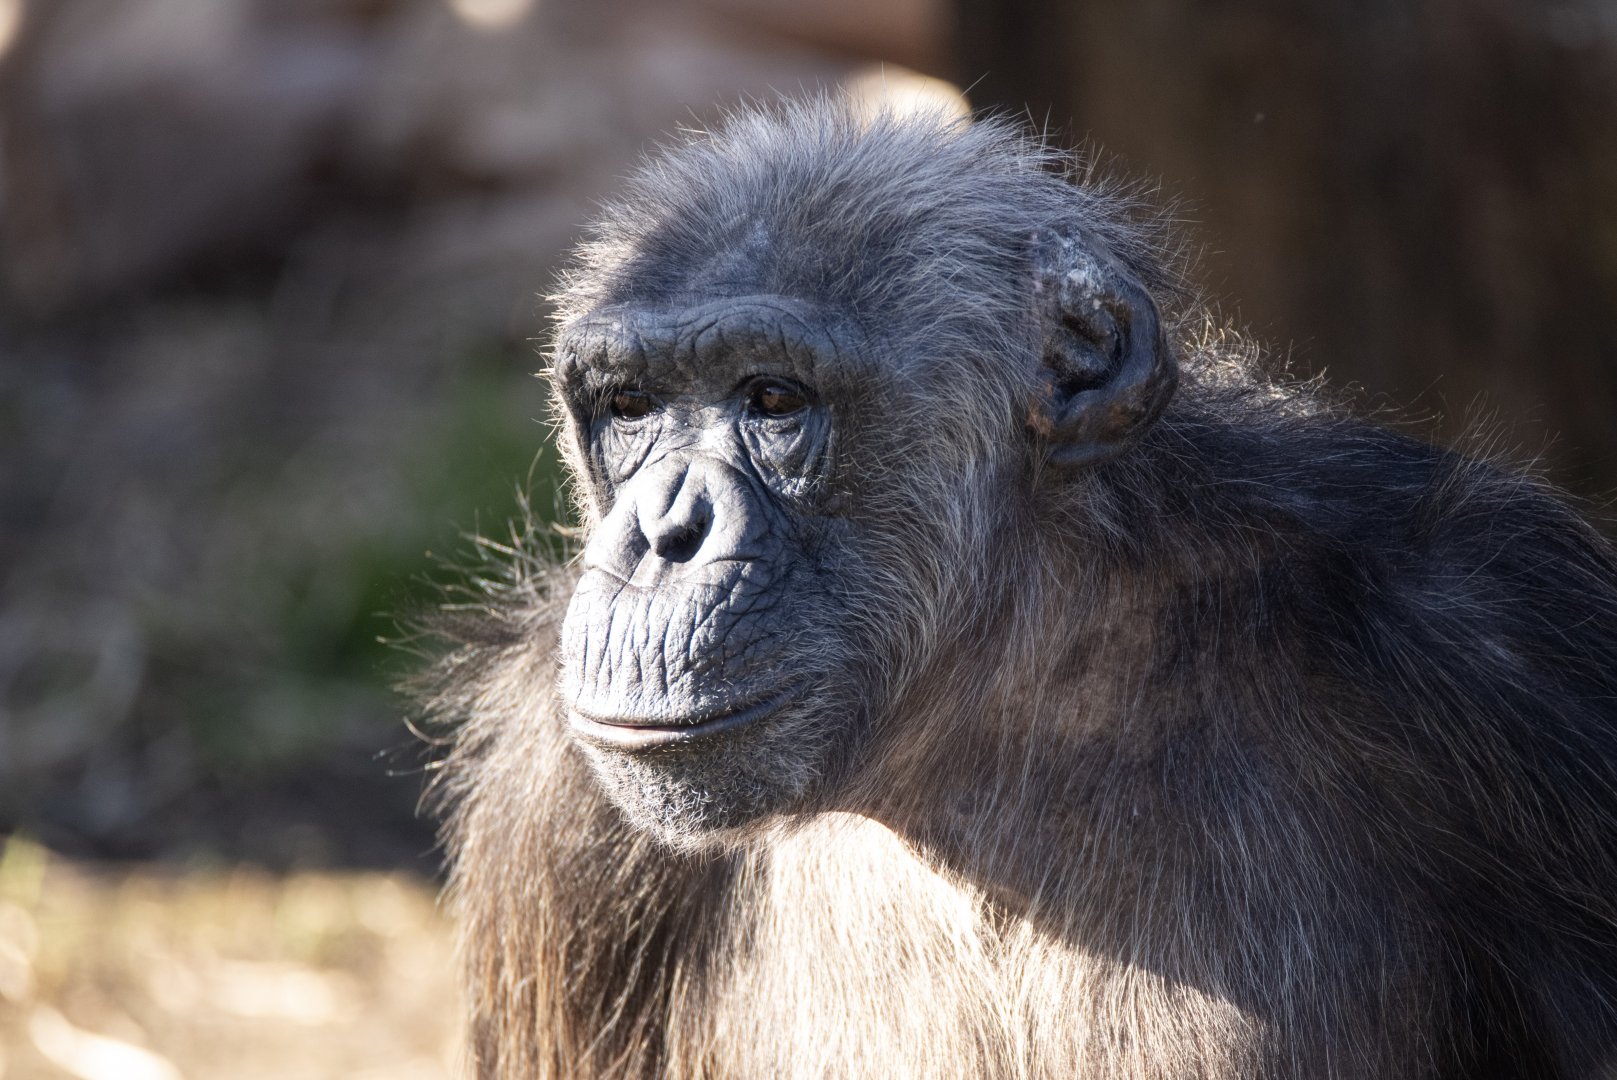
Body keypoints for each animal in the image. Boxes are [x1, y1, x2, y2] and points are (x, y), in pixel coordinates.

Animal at [412, 98, 1617, 1079]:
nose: (665, 533)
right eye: (628, 407)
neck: (991, 685)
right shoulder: (550, 810)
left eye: (771, 400)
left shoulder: (1508, 647)